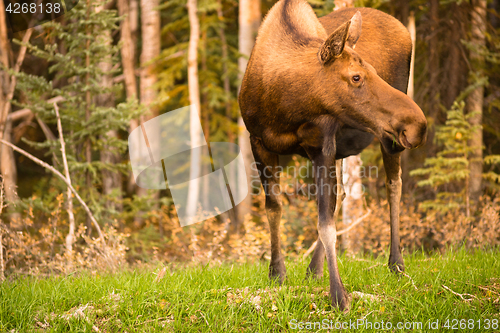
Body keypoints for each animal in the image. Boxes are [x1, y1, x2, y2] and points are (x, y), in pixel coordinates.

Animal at [238, 0, 426, 310]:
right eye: (356, 76)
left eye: (374, 70)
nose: (418, 126)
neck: (286, 108)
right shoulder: (259, 142)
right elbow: (274, 208)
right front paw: (277, 273)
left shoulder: (322, 145)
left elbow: (324, 222)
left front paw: (338, 294)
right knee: (344, 195)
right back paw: (314, 269)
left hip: (388, 139)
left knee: (393, 185)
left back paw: (396, 263)